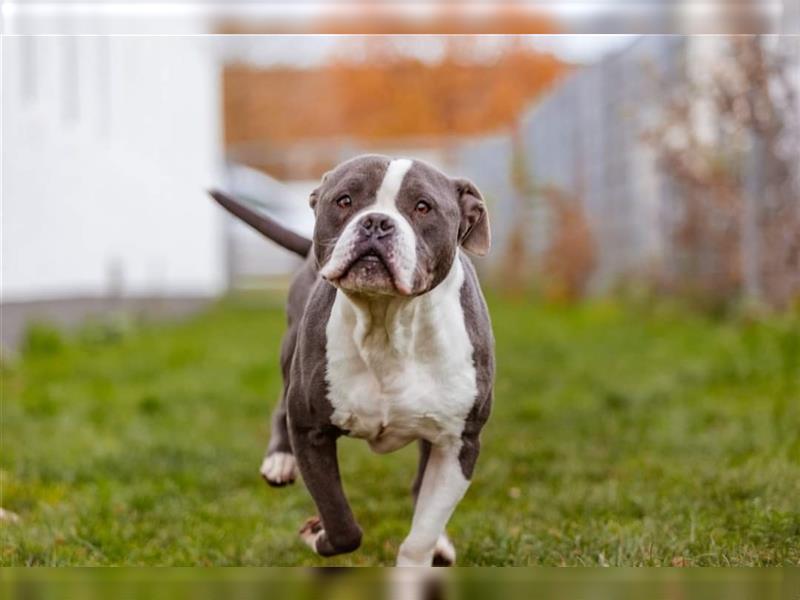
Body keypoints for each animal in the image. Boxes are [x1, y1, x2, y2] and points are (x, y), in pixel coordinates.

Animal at [208, 155, 494, 568]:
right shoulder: (310, 429)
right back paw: (279, 460)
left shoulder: (460, 443)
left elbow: (421, 534)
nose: (376, 222)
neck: (386, 323)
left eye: (423, 207)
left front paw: (421, 558)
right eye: (344, 200)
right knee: (281, 405)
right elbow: (341, 521)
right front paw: (318, 535)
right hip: (290, 349)